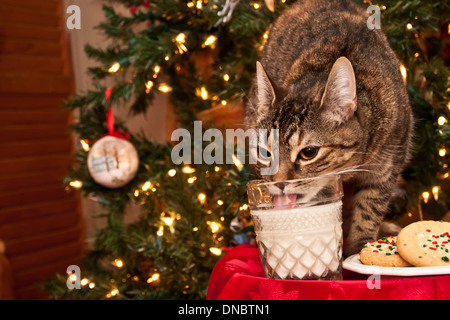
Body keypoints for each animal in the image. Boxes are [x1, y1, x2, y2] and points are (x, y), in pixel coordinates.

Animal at [244, 0, 414, 255]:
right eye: (265, 153)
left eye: (308, 153)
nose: (279, 183)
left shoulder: (388, 165)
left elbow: (369, 209)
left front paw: (358, 249)